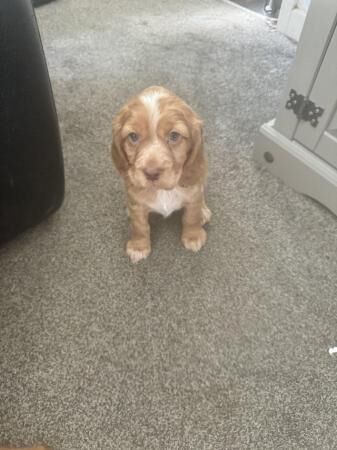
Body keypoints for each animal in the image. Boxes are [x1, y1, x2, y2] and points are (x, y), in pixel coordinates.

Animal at [111, 87, 210, 264]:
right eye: (133, 136)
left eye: (174, 136)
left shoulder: (193, 195)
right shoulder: (136, 202)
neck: (163, 191)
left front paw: (193, 236)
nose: (151, 173)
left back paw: (203, 212)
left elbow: (191, 216)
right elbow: (139, 226)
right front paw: (138, 247)